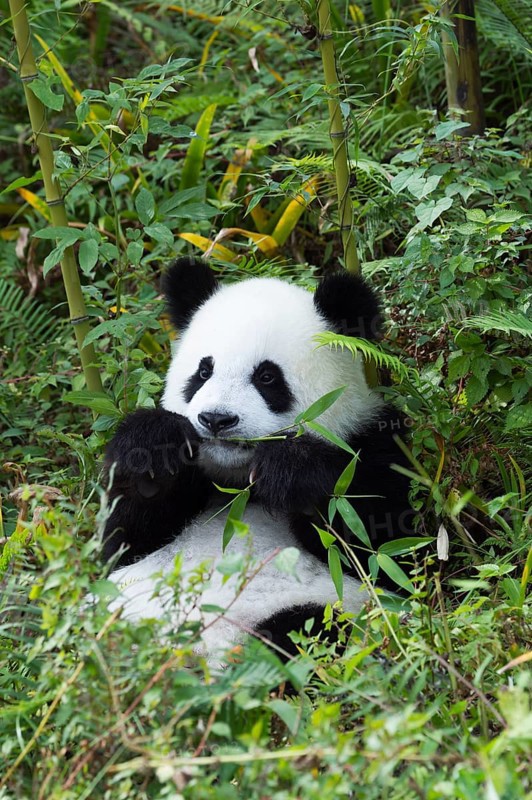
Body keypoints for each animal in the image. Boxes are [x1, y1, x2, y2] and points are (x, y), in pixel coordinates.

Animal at [102, 257, 411, 661]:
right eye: (203, 371)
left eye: (267, 377)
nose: (216, 419)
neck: (234, 483)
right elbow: (123, 542)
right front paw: (154, 444)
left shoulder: (373, 440)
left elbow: (381, 551)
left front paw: (290, 470)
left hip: (312, 610)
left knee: (307, 629)